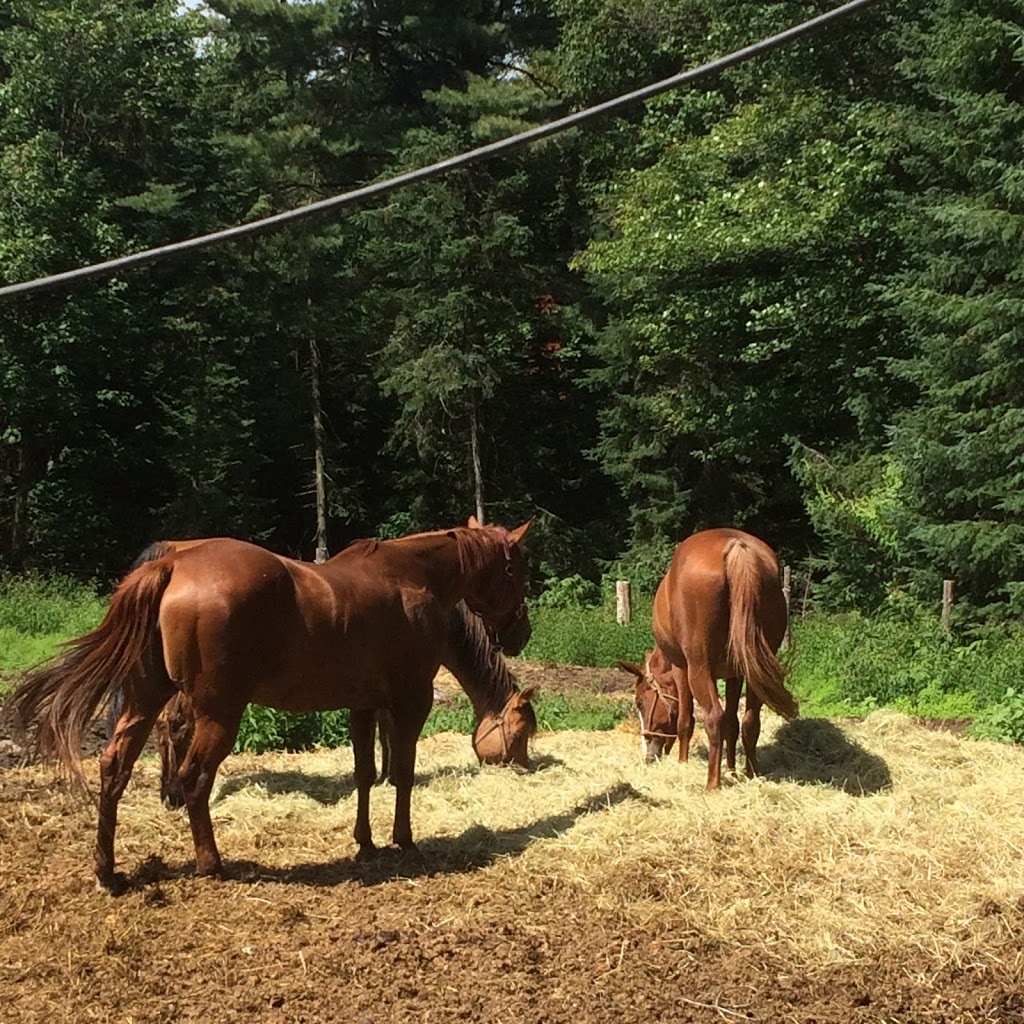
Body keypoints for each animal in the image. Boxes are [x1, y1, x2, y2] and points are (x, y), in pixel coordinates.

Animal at [8, 520, 532, 888]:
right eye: (515, 571)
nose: (521, 633)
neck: (414, 579)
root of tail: (173, 565)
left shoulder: (362, 706)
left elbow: (364, 774)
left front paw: (365, 842)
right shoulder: (411, 702)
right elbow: (402, 774)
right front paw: (403, 840)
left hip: (144, 700)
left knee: (114, 767)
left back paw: (108, 870)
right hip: (218, 713)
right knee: (194, 777)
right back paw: (210, 862)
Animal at [638, 532, 798, 786]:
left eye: (640, 703)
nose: (648, 756)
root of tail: (736, 547)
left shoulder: (681, 669)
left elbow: (686, 720)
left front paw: (683, 763)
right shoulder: (735, 675)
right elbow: (732, 724)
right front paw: (731, 768)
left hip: (699, 670)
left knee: (713, 717)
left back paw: (713, 784)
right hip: (756, 676)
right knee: (750, 722)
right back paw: (750, 774)